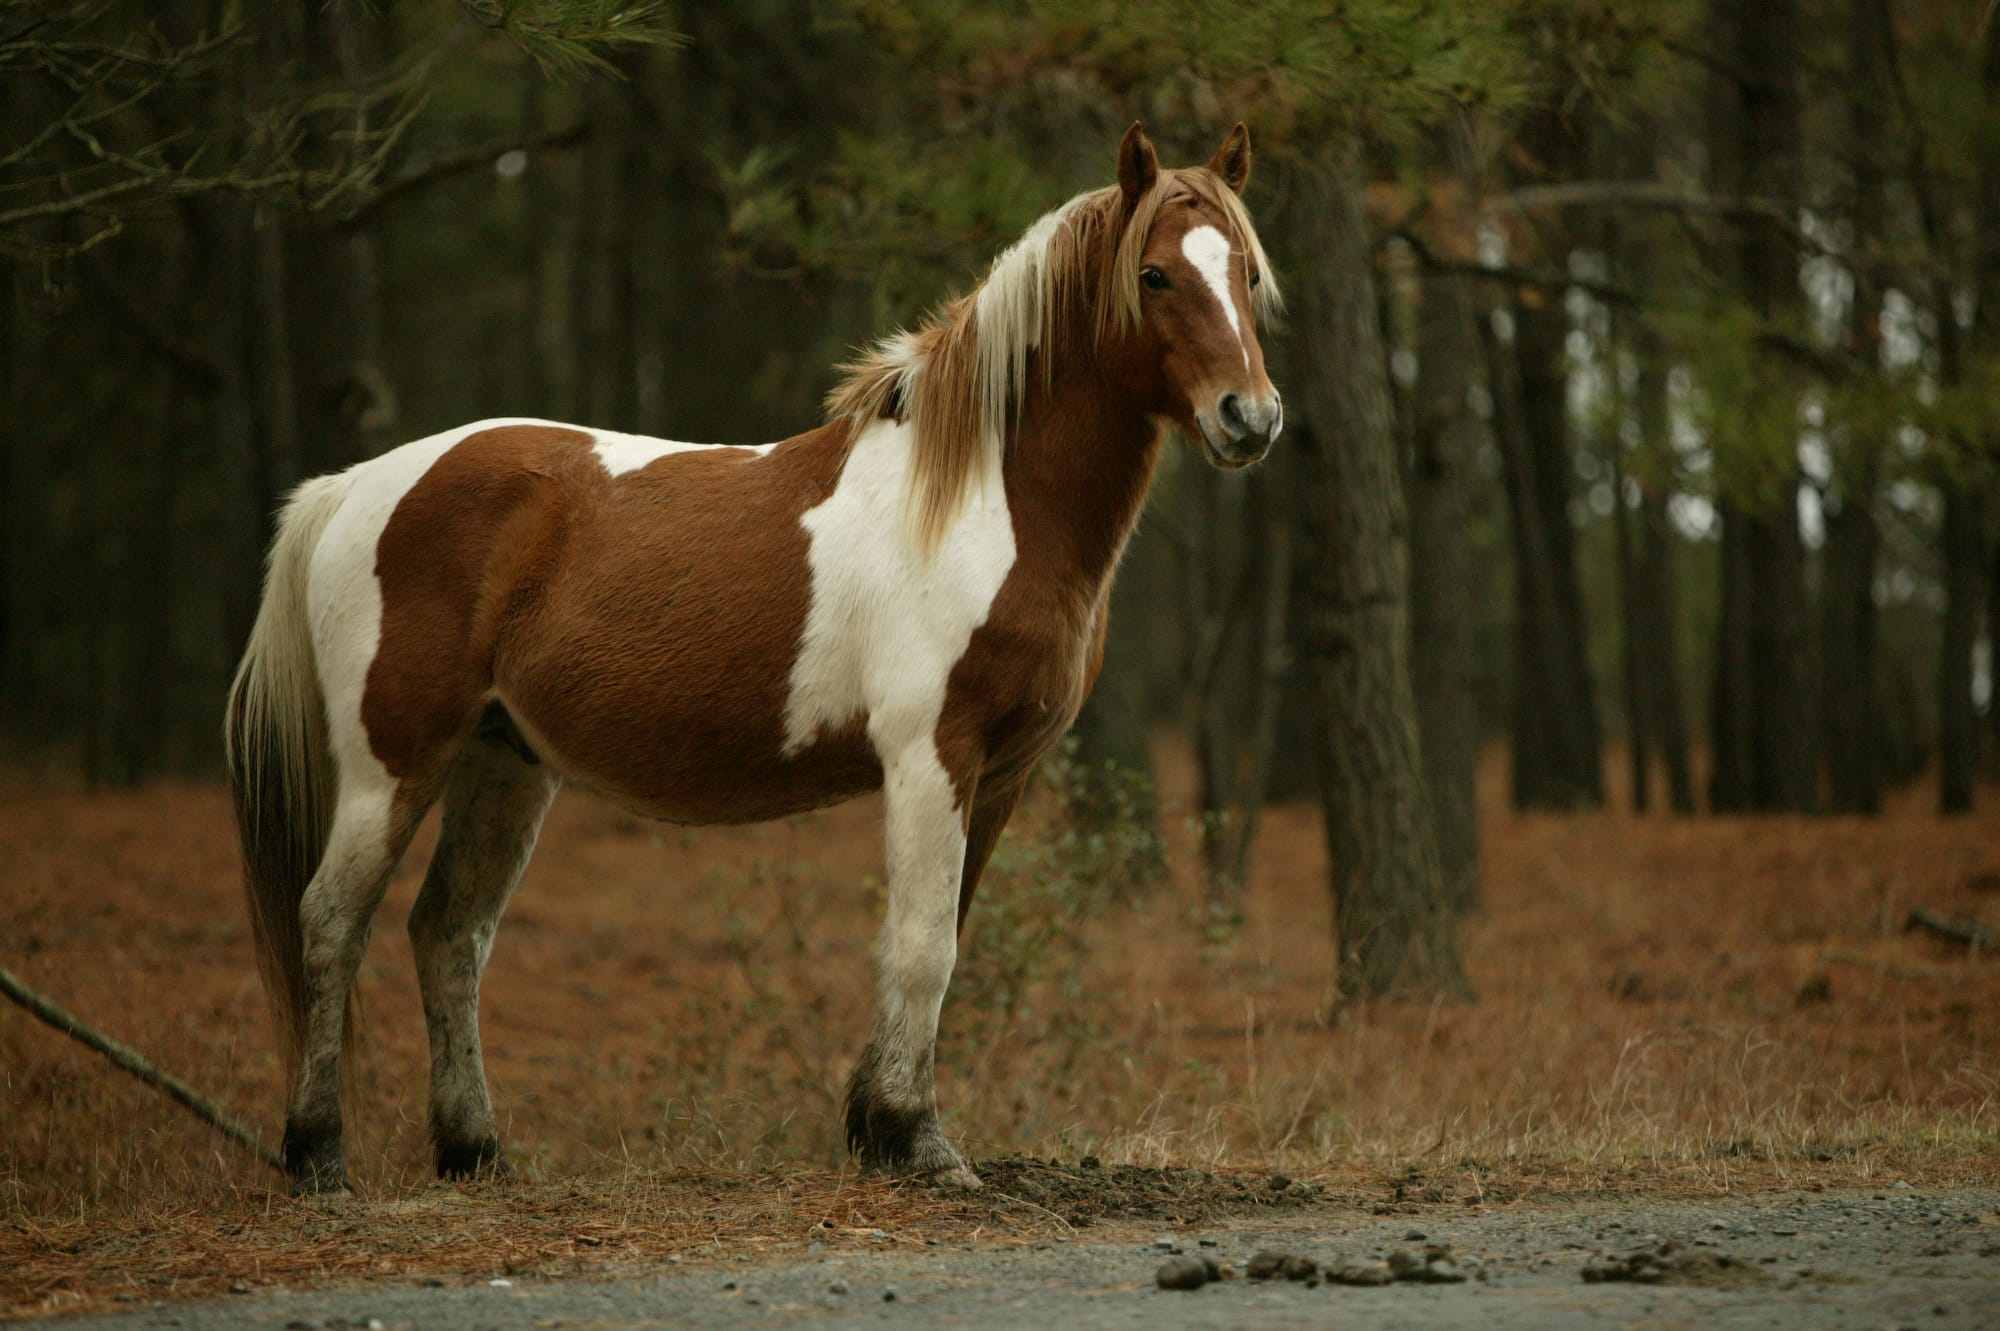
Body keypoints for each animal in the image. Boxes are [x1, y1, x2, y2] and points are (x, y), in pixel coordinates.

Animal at [226, 121, 1283, 1193]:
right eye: (1153, 274)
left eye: (1246, 272)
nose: (1250, 418)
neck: (983, 498)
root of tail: (354, 484)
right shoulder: (929, 756)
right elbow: (920, 947)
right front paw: (917, 1139)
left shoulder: (1000, 771)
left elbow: (943, 931)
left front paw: (875, 1124)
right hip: (392, 763)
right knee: (330, 921)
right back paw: (318, 1154)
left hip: (503, 762)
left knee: (448, 933)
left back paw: (474, 1150)